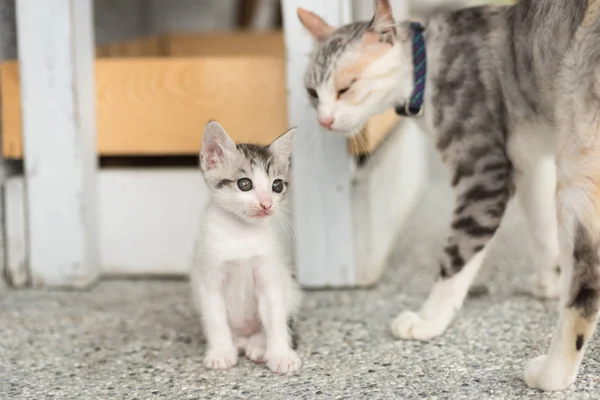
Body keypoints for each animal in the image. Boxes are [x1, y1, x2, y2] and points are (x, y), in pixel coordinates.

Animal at [191, 121, 302, 376]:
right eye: (245, 184)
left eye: (277, 186)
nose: (267, 204)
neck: (241, 234)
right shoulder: (210, 277)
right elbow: (216, 319)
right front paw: (221, 352)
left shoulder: (269, 275)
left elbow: (275, 317)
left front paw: (280, 354)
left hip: (289, 289)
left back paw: (259, 345)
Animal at [296, 0, 600, 392]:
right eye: (312, 93)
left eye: (346, 88)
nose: (325, 121)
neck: (429, 60)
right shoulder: (527, 160)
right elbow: (542, 228)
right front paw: (549, 281)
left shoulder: (484, 174)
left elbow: (457, 259)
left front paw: (429, 320)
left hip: (578, 157)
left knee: (586, 283)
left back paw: (552, 373)